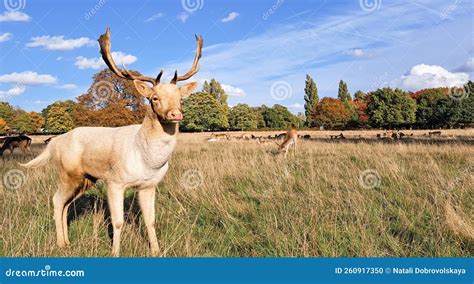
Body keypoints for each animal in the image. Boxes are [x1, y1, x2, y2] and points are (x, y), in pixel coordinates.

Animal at [20, 27, 203, 258]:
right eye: (154, 98)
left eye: (180, 98)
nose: (175, 114)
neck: (147, 161)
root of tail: (54, 142)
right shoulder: (114, 181)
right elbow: (117, 222)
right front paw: (115, 252)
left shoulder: (150, 185)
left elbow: (151, 221)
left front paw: (156, 250)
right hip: (67, 173)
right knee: (56, 200)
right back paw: (61, 243)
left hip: (85, 179)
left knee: (66, 204)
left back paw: (68, 242)